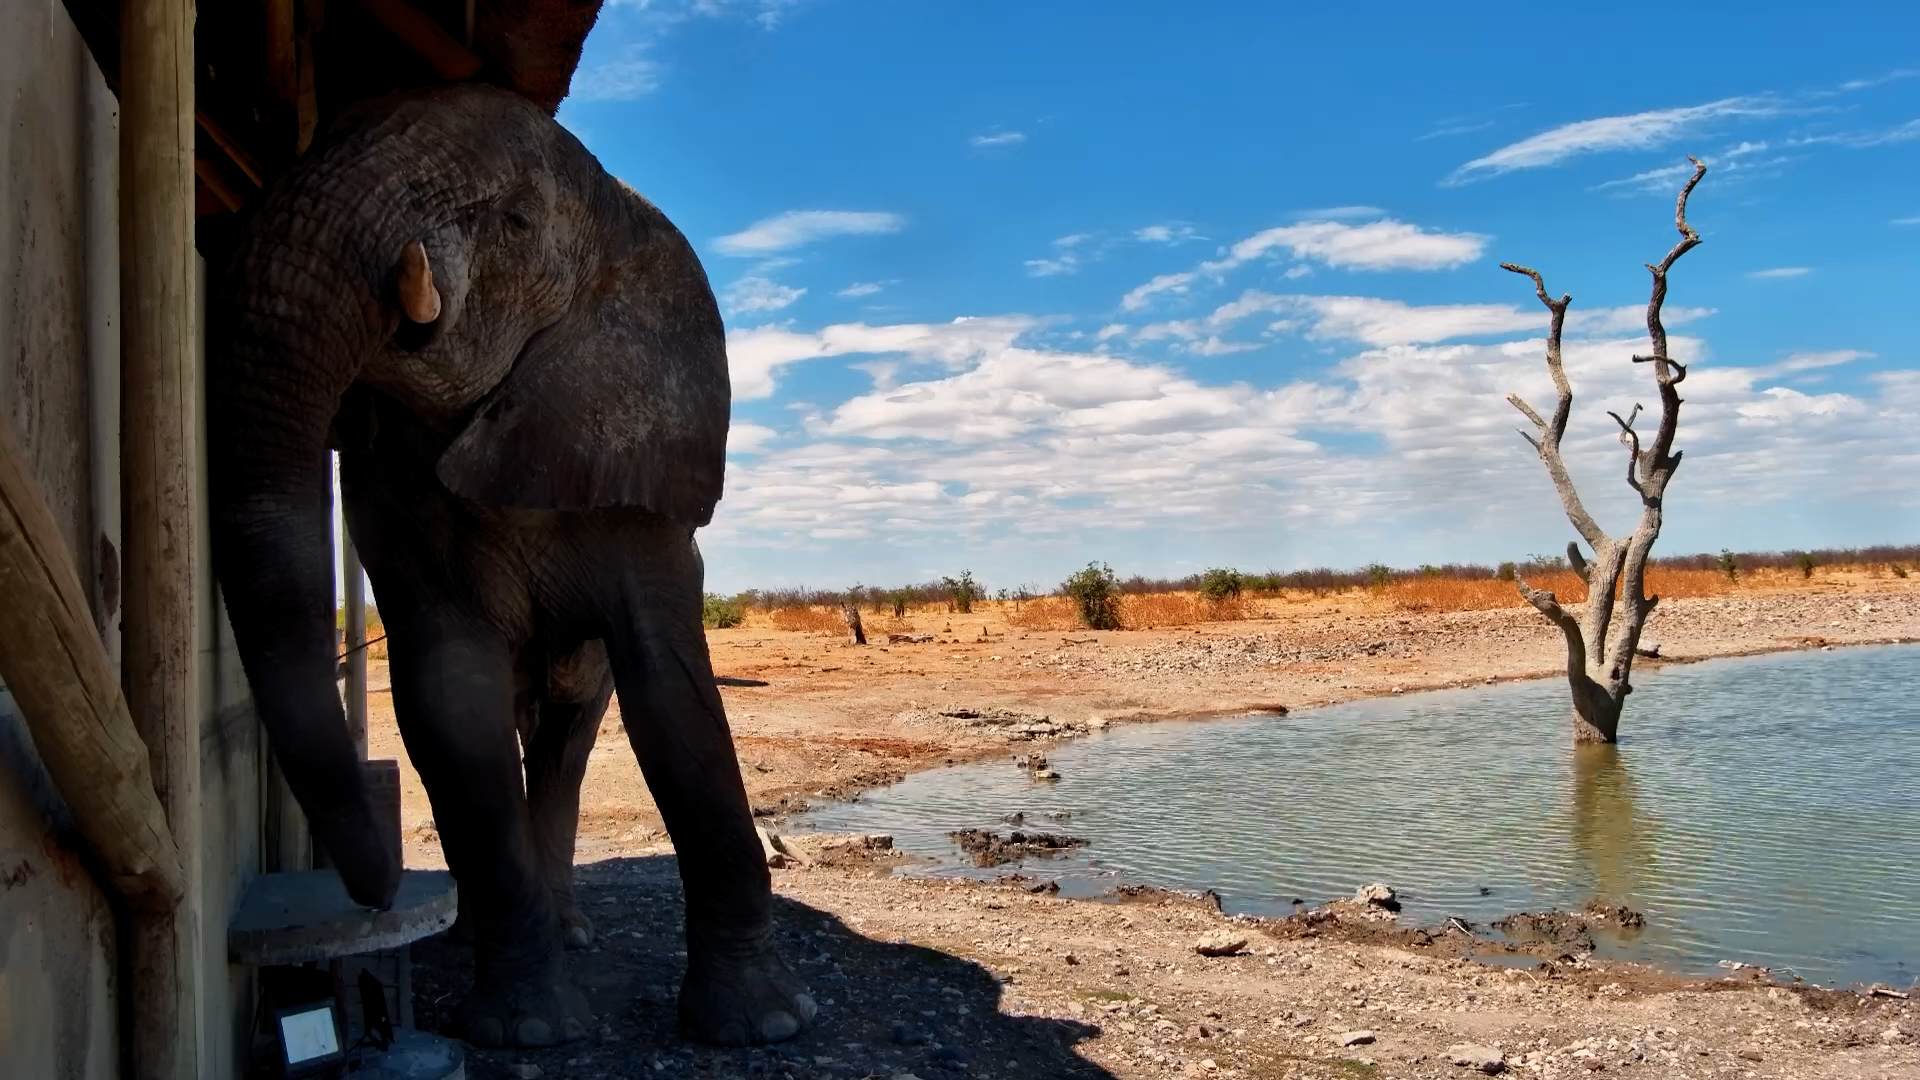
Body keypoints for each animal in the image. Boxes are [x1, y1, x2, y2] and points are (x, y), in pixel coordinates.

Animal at [207, 82, 815, 1049]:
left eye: (517, 222)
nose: (377, 897)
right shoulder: (394, 488)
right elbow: (453, 700)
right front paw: (525, 1030)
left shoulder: (643, 481)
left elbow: (672, 692)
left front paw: (767, 1025)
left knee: (566, 743)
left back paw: (572, 928)